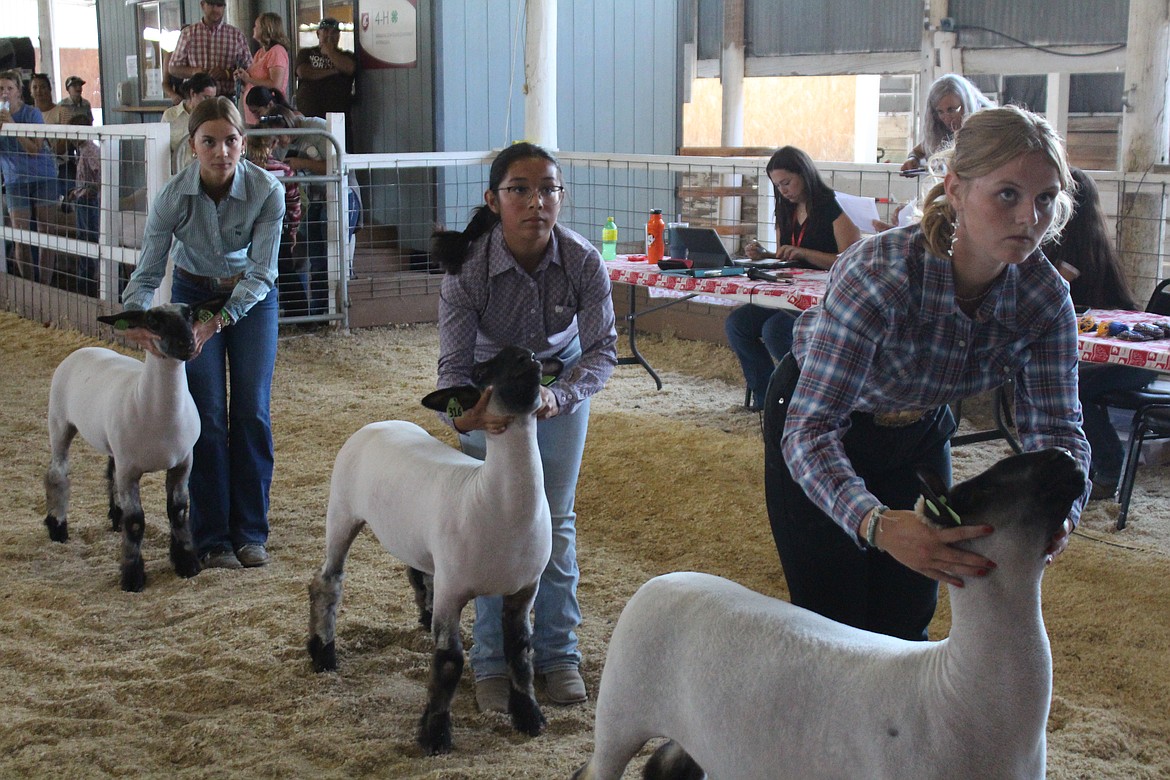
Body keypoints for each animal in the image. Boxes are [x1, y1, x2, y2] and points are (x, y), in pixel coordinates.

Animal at [43, 299, 225, 591]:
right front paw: (132, 577)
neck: (160, 414)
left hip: (114, 445)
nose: (186, 343)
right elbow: (136, 522)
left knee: (110, 473)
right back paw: (58, 528)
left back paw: (114, 517)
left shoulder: (182, 462)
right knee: (57, 473)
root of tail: (85, 349)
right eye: (153, 322)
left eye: (190, 315)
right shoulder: (131, 470)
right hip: (59, 421)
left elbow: (178, 512)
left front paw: (186, 564)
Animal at [308, 346, 563, 757]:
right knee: (327, 582)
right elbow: (448, 662)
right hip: (342, 512)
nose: (526, 356)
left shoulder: (524, 589)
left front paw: (529, 716)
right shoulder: (453, 591)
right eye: (483, 369)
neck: (497, 502)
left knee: (416, 571)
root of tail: (379, 423)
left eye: (533, 355)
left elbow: (521, 652)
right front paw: (435, 735)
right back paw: (323, 654)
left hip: (416, 540)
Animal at [575, 444, 1085, 780]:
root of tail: (662, 580)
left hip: (698, 731)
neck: (956, 689)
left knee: (668, 765)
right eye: (982, 491)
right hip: (621, 709)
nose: (1066, 456)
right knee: (597, 769)